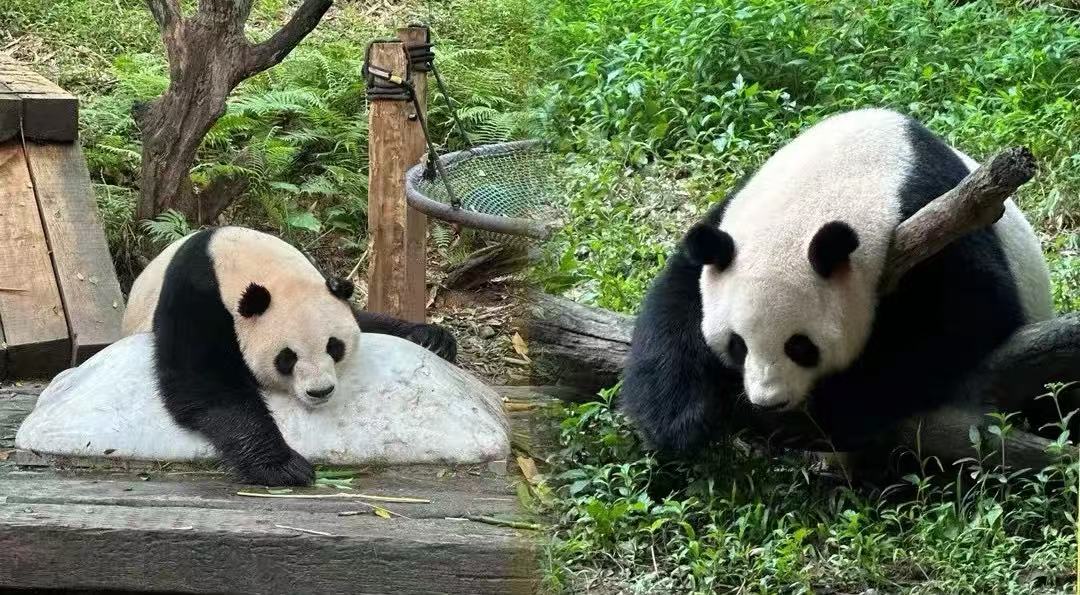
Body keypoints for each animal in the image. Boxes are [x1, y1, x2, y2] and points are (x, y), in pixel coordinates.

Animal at [122, 226, 458, 486]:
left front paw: (433, 338)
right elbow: (202, 382)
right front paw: (281, 466)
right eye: (287, 357)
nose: (320, 391)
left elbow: (363, 318)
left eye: (334, 347)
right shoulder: (195, 296)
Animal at [619, 108, 1054, 459]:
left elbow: (970, 311)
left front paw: (839, 407)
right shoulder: (726, 219)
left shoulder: (938, 217)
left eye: (800, 346)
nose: (769, 400)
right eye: (737, 344)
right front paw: (676, 419)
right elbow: (677, 295)